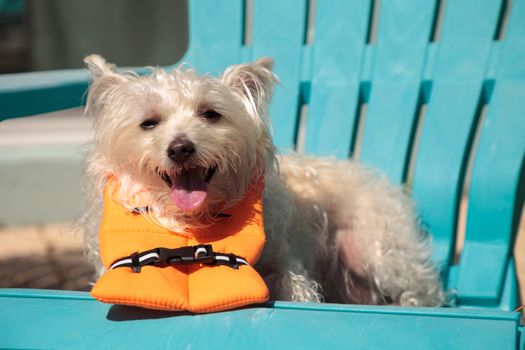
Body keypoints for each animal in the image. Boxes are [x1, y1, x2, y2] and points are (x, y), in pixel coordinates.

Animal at [84, 54, 444, 306]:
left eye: (210, 114)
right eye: (149, 123)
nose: (181, 148)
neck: (194, 222)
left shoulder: (285, 259)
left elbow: (293, 283)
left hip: (379, 251)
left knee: (423, 289)